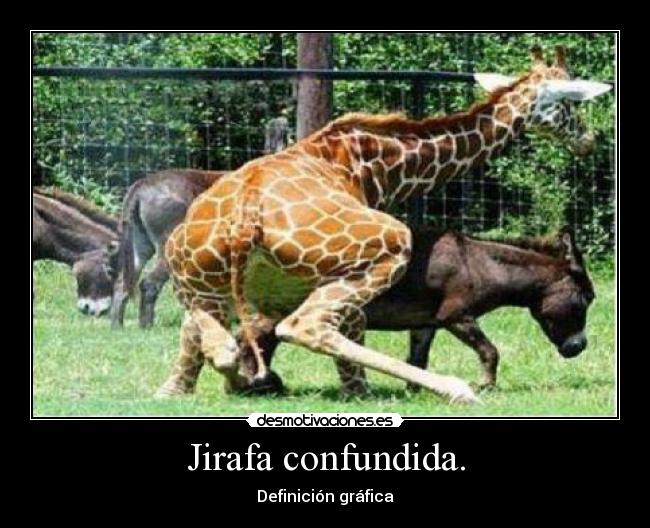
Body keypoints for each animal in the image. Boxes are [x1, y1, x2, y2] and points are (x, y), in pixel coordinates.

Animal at [156, 46, 610, 403]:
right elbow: (355, 333)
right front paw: (358, 390)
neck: (383, 163)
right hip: (389, 245)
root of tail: (247, 214)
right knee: (303, 326)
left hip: (193, 274)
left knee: (216, 341)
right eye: (570, 105)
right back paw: (453, 388)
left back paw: (223, 383)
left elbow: (198, 339)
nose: (589, 141)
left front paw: (190, 386)